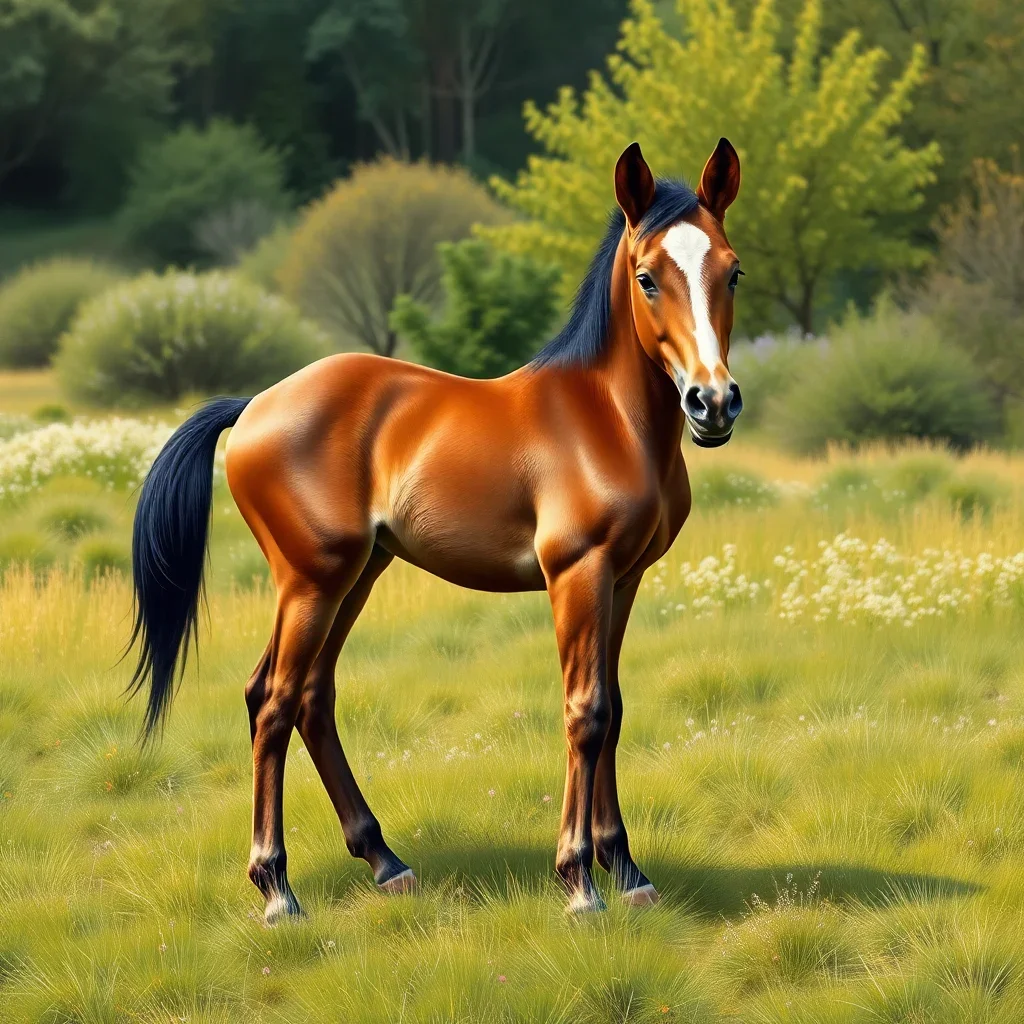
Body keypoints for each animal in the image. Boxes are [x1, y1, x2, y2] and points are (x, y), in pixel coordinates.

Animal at [128, 139, 744, 921]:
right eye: (647, 278)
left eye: (732, 270)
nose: (713, 402)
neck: (606, 420)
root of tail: (255, 406)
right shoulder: (578, 573)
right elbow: (587, 711)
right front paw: (579, 881)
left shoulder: (625, 578)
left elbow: (614, 708)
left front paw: (627, 871)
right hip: (312, 580)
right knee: (272, 700)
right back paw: (277, 891)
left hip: (357, 575)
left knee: (310, 696)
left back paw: (385, 861)